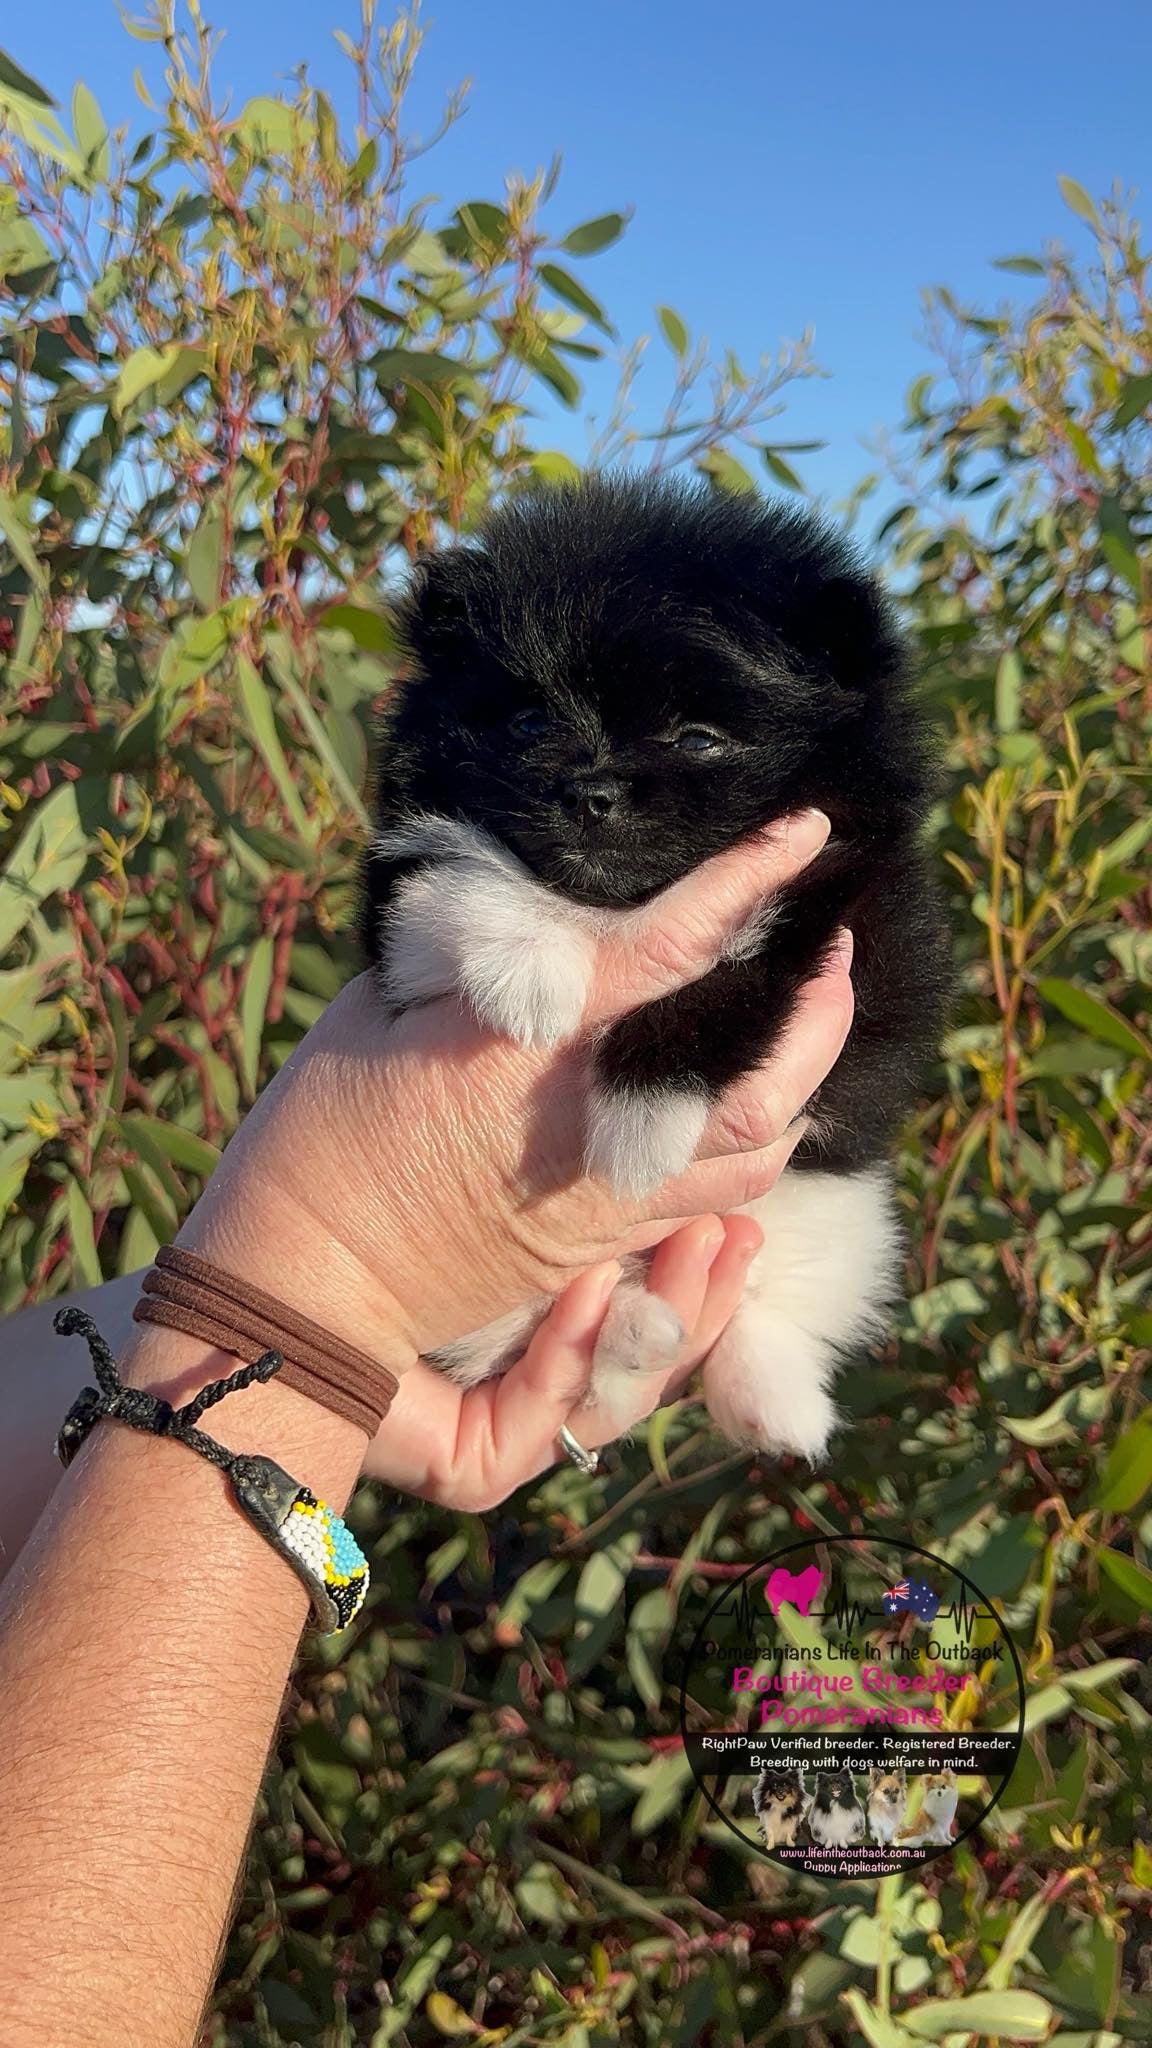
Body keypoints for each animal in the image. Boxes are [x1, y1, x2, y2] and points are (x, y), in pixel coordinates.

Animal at [358, 471, 942, 1449]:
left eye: (698, 737)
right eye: (528, 721)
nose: (590, 791)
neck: (622, 903)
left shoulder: (851, 921)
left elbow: (741, 975)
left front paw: (643, 1117)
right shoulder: (395, 906)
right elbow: (459, 867)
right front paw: (529, 969)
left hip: (840, 1215)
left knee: (765, 1308)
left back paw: (769, 1400)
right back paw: (639, 1332)